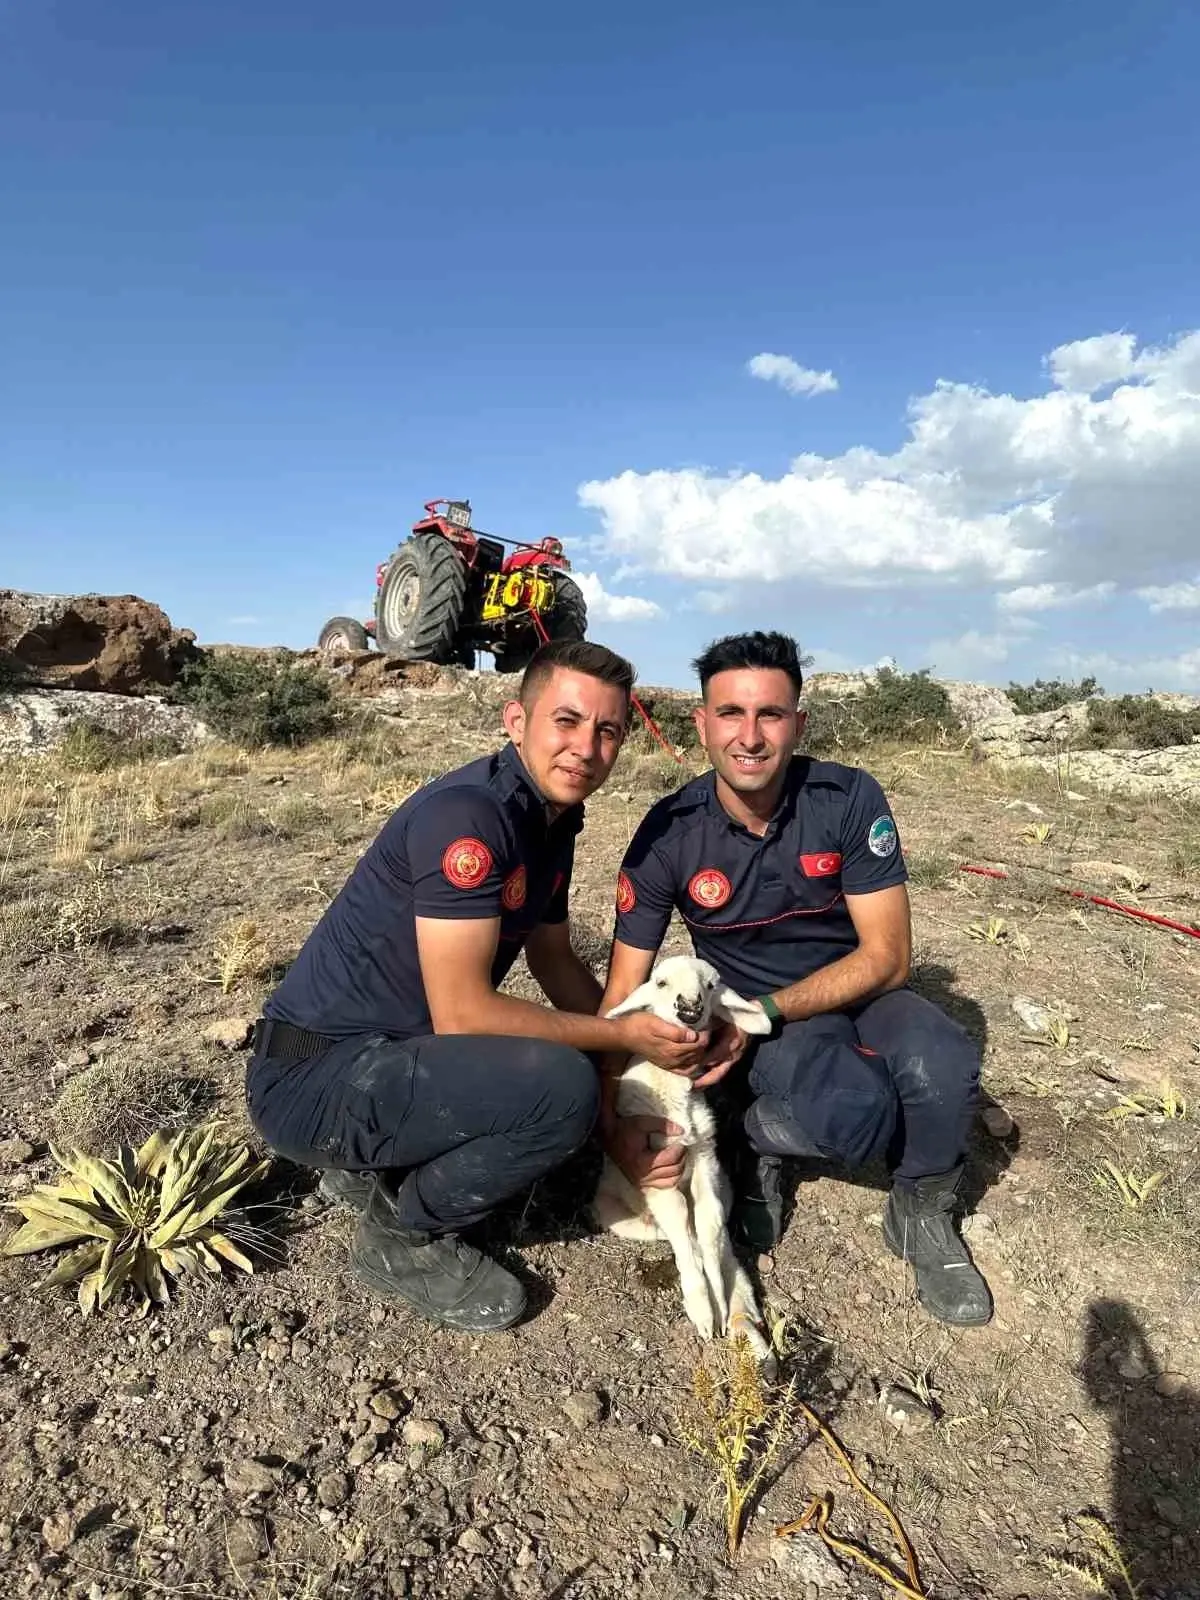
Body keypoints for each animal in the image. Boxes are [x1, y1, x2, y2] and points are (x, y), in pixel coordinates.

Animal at [595, 953, 780, 1369]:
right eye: (660, 983)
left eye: (711, 986)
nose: (690, 1007)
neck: (677, 1097)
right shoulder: (658, 1171)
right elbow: (685, 1226)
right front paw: (703, 1310)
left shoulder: (705, 1158)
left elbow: (709, 1225)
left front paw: (720, 1304)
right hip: (616, 1212)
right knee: (680, 1236)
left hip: (724, 1184)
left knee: (719, 1236)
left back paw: (747, 1325)